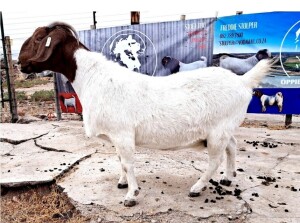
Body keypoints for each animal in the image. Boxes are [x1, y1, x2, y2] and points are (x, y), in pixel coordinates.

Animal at [17, 22, 274, 207]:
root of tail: (243, 81)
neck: (94, 78)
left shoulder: (123, 134)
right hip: (223, 128)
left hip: (218, 132)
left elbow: (128, 163)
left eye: (39, 37)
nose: (19, 62)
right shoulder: (116, 137)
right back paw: (228, 177)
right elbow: (120, 162)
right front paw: (122, 183)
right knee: (233, 145)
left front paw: (131, 195)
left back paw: (197, 188)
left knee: (215, 159)